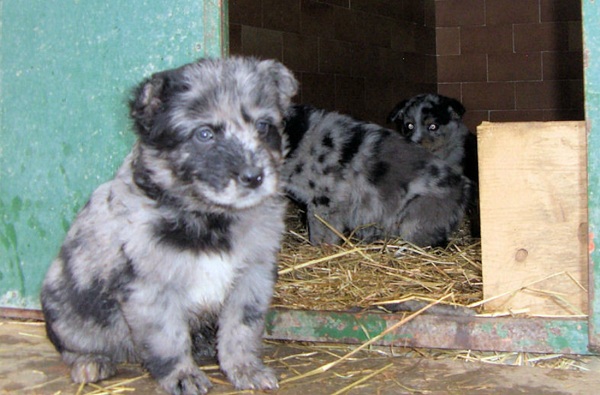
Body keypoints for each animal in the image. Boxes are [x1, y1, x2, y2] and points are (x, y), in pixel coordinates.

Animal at [39, 56, 298, 395]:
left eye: (264, 126)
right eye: (204, 134)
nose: (254, 177)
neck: (209, 218)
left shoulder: (252, 276)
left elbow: (241, 328)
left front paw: (245, 368)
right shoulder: (151, 288)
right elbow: (168, 338)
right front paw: (181, 376)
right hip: (65, 309)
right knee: (71, 342)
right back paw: (90, 362)